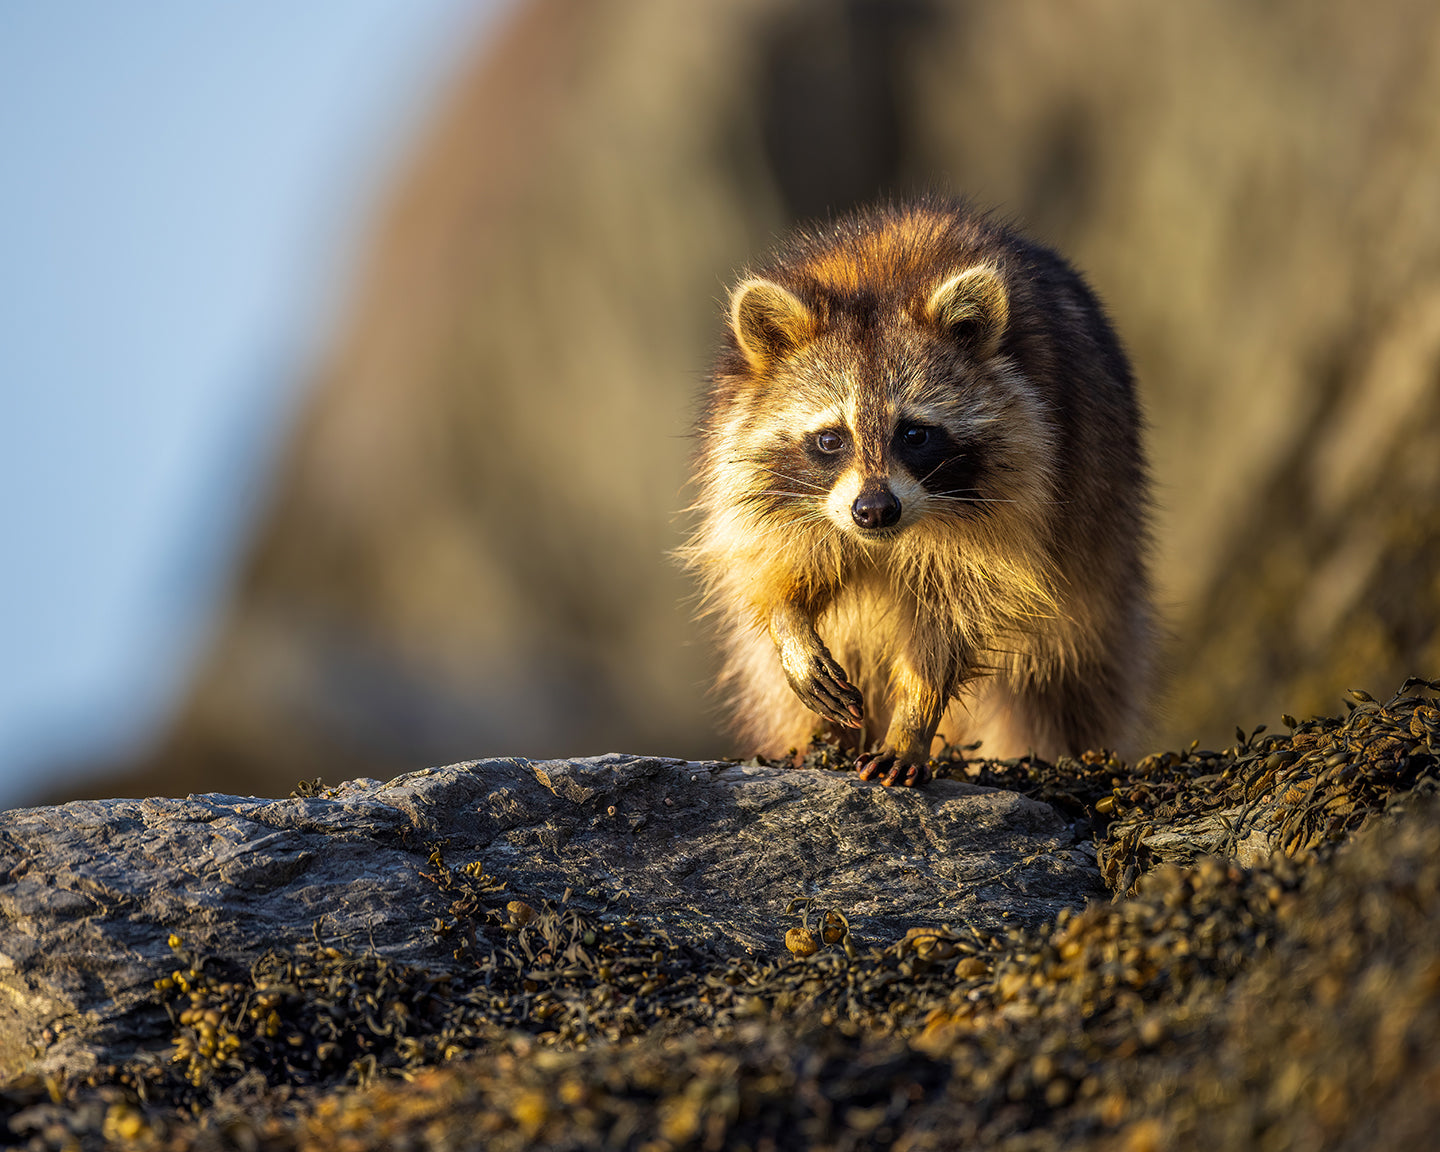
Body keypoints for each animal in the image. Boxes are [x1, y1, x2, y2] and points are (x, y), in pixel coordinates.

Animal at [683, 202, 1154, 786]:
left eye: (914, 434)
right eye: (831, 439)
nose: (874, 511)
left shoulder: (1024, 491)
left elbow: (959, 610)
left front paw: (915, 715)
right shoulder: (753, 472)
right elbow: (778, 562)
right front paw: (790, 622)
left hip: (1102, 546)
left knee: (1070, 681)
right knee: (775, 686)